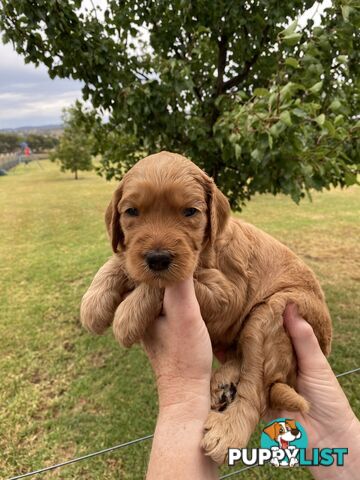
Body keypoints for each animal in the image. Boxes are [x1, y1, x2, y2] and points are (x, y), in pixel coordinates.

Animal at [81, 151, 332, 464]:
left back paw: (227, 431)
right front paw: (94, 301)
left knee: (256, 388)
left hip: (272, 311)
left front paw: (127, 316)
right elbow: (122, 260)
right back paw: (223, 383)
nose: (158, 258)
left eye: (190, 212)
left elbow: (172, 281)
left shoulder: (228, 296)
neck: (204, 250)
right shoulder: (137, 257)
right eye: (132, 212)